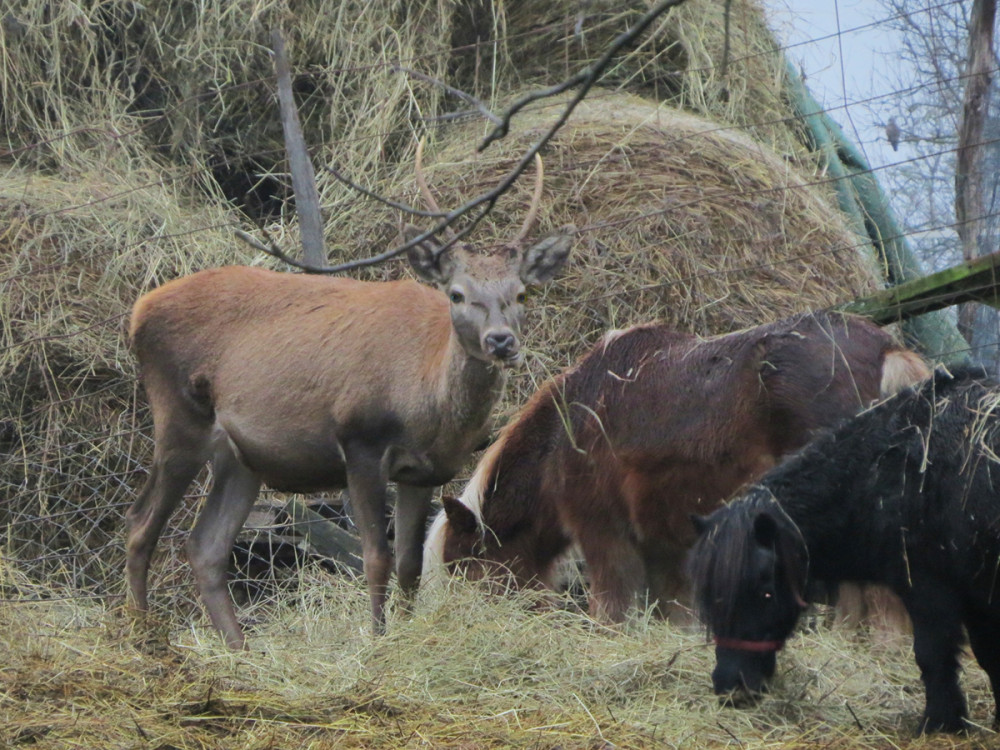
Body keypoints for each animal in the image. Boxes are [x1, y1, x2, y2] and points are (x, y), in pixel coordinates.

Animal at [688, 370, 1000, 736]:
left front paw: (939, 722)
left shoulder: (930, 590)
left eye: (765, 591)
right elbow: (988, 656)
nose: (731, 688)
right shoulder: (976, 596)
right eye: (712, 595)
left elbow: (933, 655)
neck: (884, 472)